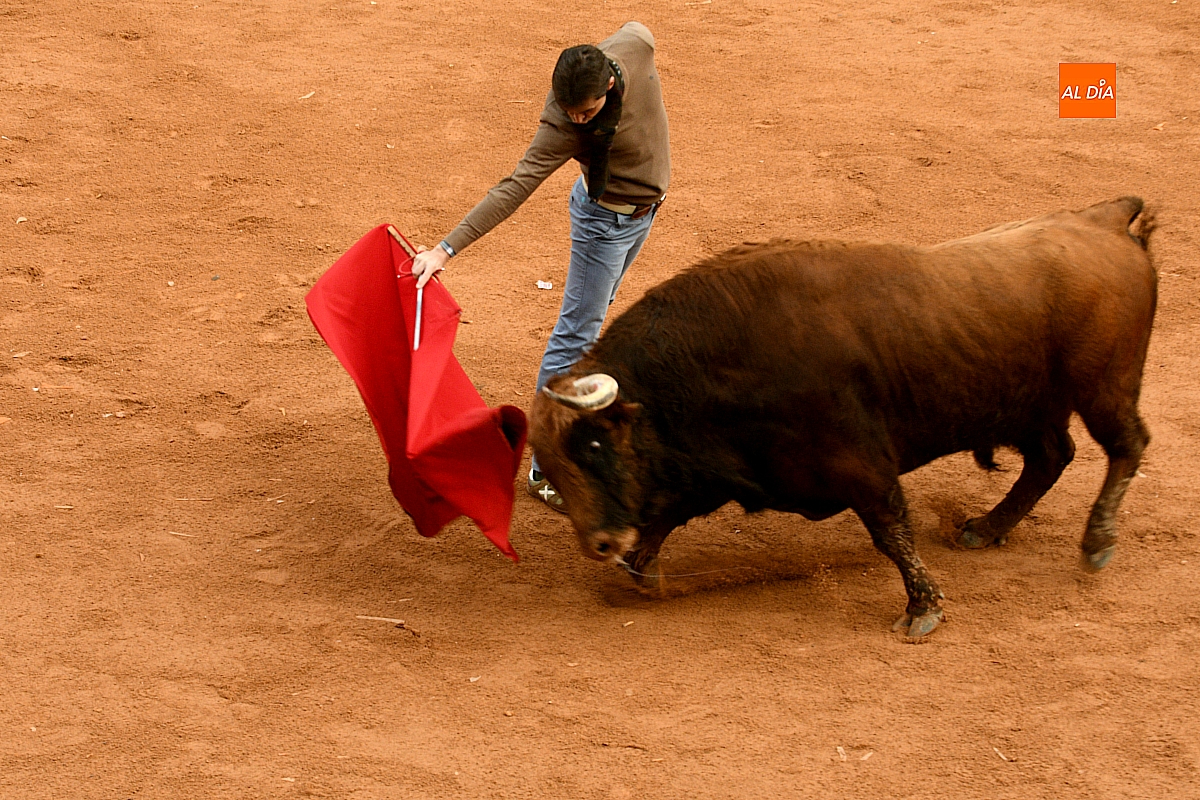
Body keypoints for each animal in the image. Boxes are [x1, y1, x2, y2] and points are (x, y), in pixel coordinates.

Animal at [529, 196, 1157, 638]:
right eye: (551, 467)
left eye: (593, 447)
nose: (598, 544)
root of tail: (1105, 220)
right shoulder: (714, 468)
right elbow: (662, 518)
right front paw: (646, 574)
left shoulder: (861, 464)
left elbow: (891, 532)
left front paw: (923, 608)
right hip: (1034, 407)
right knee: (1052, 457)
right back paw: (986, 527)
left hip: (1105, 390)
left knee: (1125, 446)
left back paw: (1096, 541)